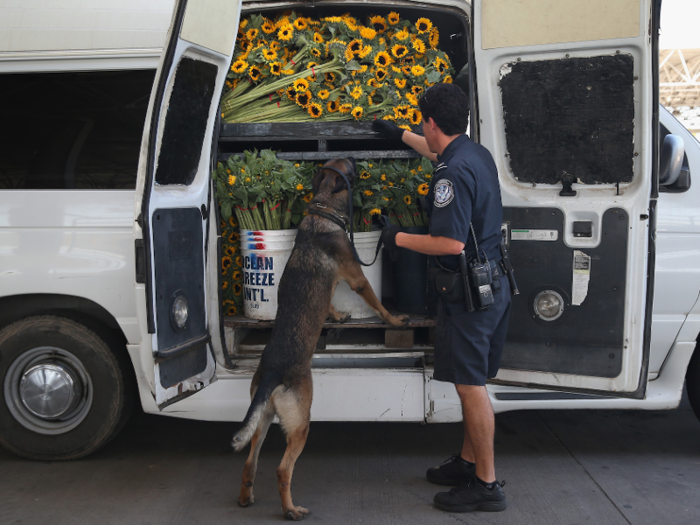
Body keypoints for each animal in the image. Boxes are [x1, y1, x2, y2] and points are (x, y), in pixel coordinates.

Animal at [232, 158, 408, 516]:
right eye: (350, 167)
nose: (357, 160)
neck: (322, 209)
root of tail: (272, 374)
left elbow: (328, 303)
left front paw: (338, 317)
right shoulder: (357, 278)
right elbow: (379, 306)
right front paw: (395, 320)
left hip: (263, 419)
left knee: (250, 460)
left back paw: (245, 498)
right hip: (301, 422)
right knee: (282, 469)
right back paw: (291, 510)